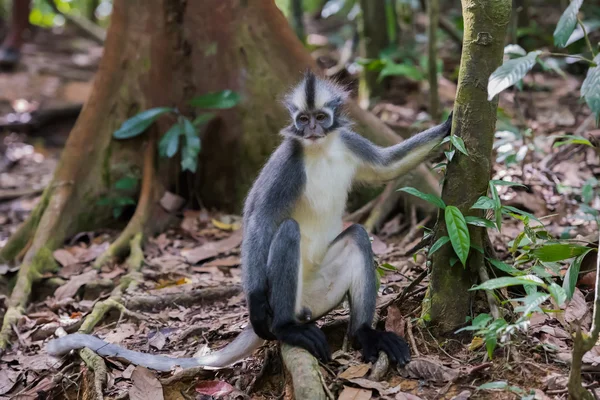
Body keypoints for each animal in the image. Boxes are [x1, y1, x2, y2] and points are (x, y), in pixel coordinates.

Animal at [47, 71, 452, 372]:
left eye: (321, 118)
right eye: (303, 120)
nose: (311, 130)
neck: (320, 150)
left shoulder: (348, 142)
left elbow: (388, 167)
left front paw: (450, 124)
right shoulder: (288, 162)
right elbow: (258, 218)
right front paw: (255, 304)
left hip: (321, 290)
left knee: (356, 235)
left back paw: (365, 334)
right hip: (290, 297)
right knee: (287, 232)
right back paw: (286, 329)